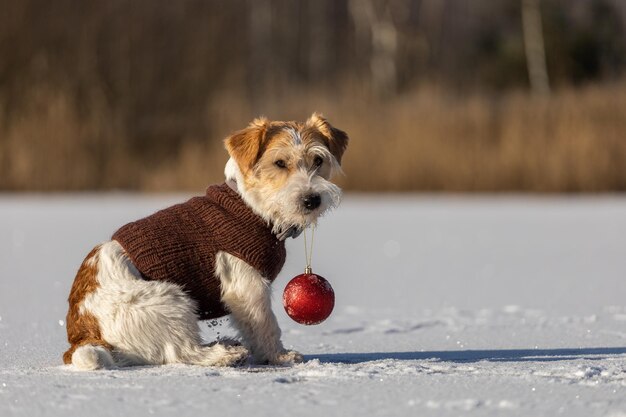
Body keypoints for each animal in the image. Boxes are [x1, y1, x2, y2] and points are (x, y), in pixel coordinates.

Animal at [62, 112, 346, 368]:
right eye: (279, 163)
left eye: (318, 160)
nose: (312, 199)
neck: (251, 206)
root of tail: (82, 335)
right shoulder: (247, 286)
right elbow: (265, 325)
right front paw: (278, 356)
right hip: (170, 301)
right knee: (183, 353)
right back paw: (224, 355)